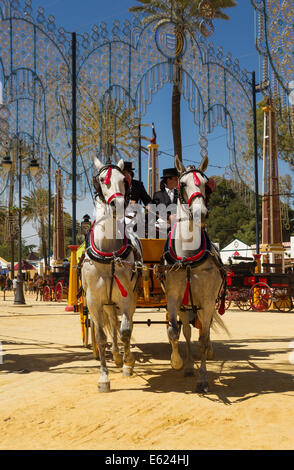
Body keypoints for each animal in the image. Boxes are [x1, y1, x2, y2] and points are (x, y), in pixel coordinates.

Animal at [81, 158, 142, 392]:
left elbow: (125, 330)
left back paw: (123, 357)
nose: (118, 204)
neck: (109, 254)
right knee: (112, 326)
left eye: (123, 179)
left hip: (127, 298)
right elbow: (101, 337)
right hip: (107, 303)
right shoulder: (94, 301)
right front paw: (104, 378)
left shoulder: (126, 297)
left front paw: (128, 363)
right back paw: (116, 355)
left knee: (124, 325)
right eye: (101, 180)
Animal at [163, 154, 227, 392]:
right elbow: (174, 332)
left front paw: (203, 379)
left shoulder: (207, 301)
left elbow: (204, 338)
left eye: (206, 184)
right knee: (188, 333)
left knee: (202, 331)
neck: (188, 258)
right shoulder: (174, 298)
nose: (200, 213)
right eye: (182, 184)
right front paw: (177, 363)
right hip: (186, 305)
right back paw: (189, 366)